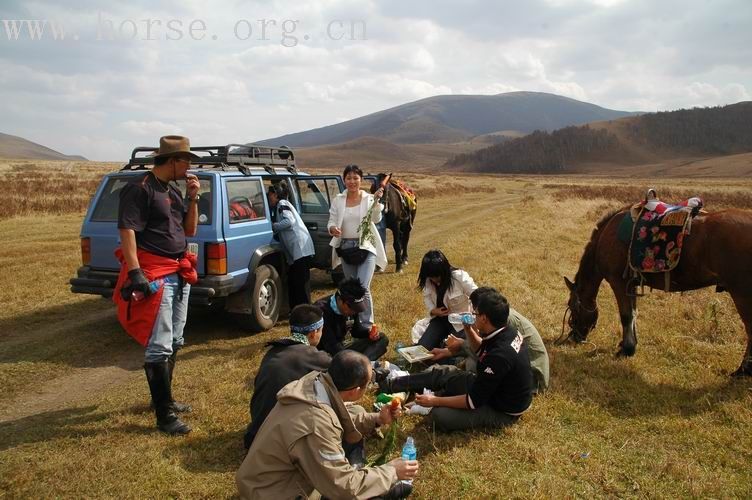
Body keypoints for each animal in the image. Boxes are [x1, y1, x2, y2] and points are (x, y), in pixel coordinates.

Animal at [568, 206, 752, 376]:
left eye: (572, 307)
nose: (574, 337)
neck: (607, 235)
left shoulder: (619, 282)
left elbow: (626, 316)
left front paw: (627, 349)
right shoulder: (631, 285)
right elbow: (633, 314)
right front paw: (630, 344)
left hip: (742, 295)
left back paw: (743, 370)